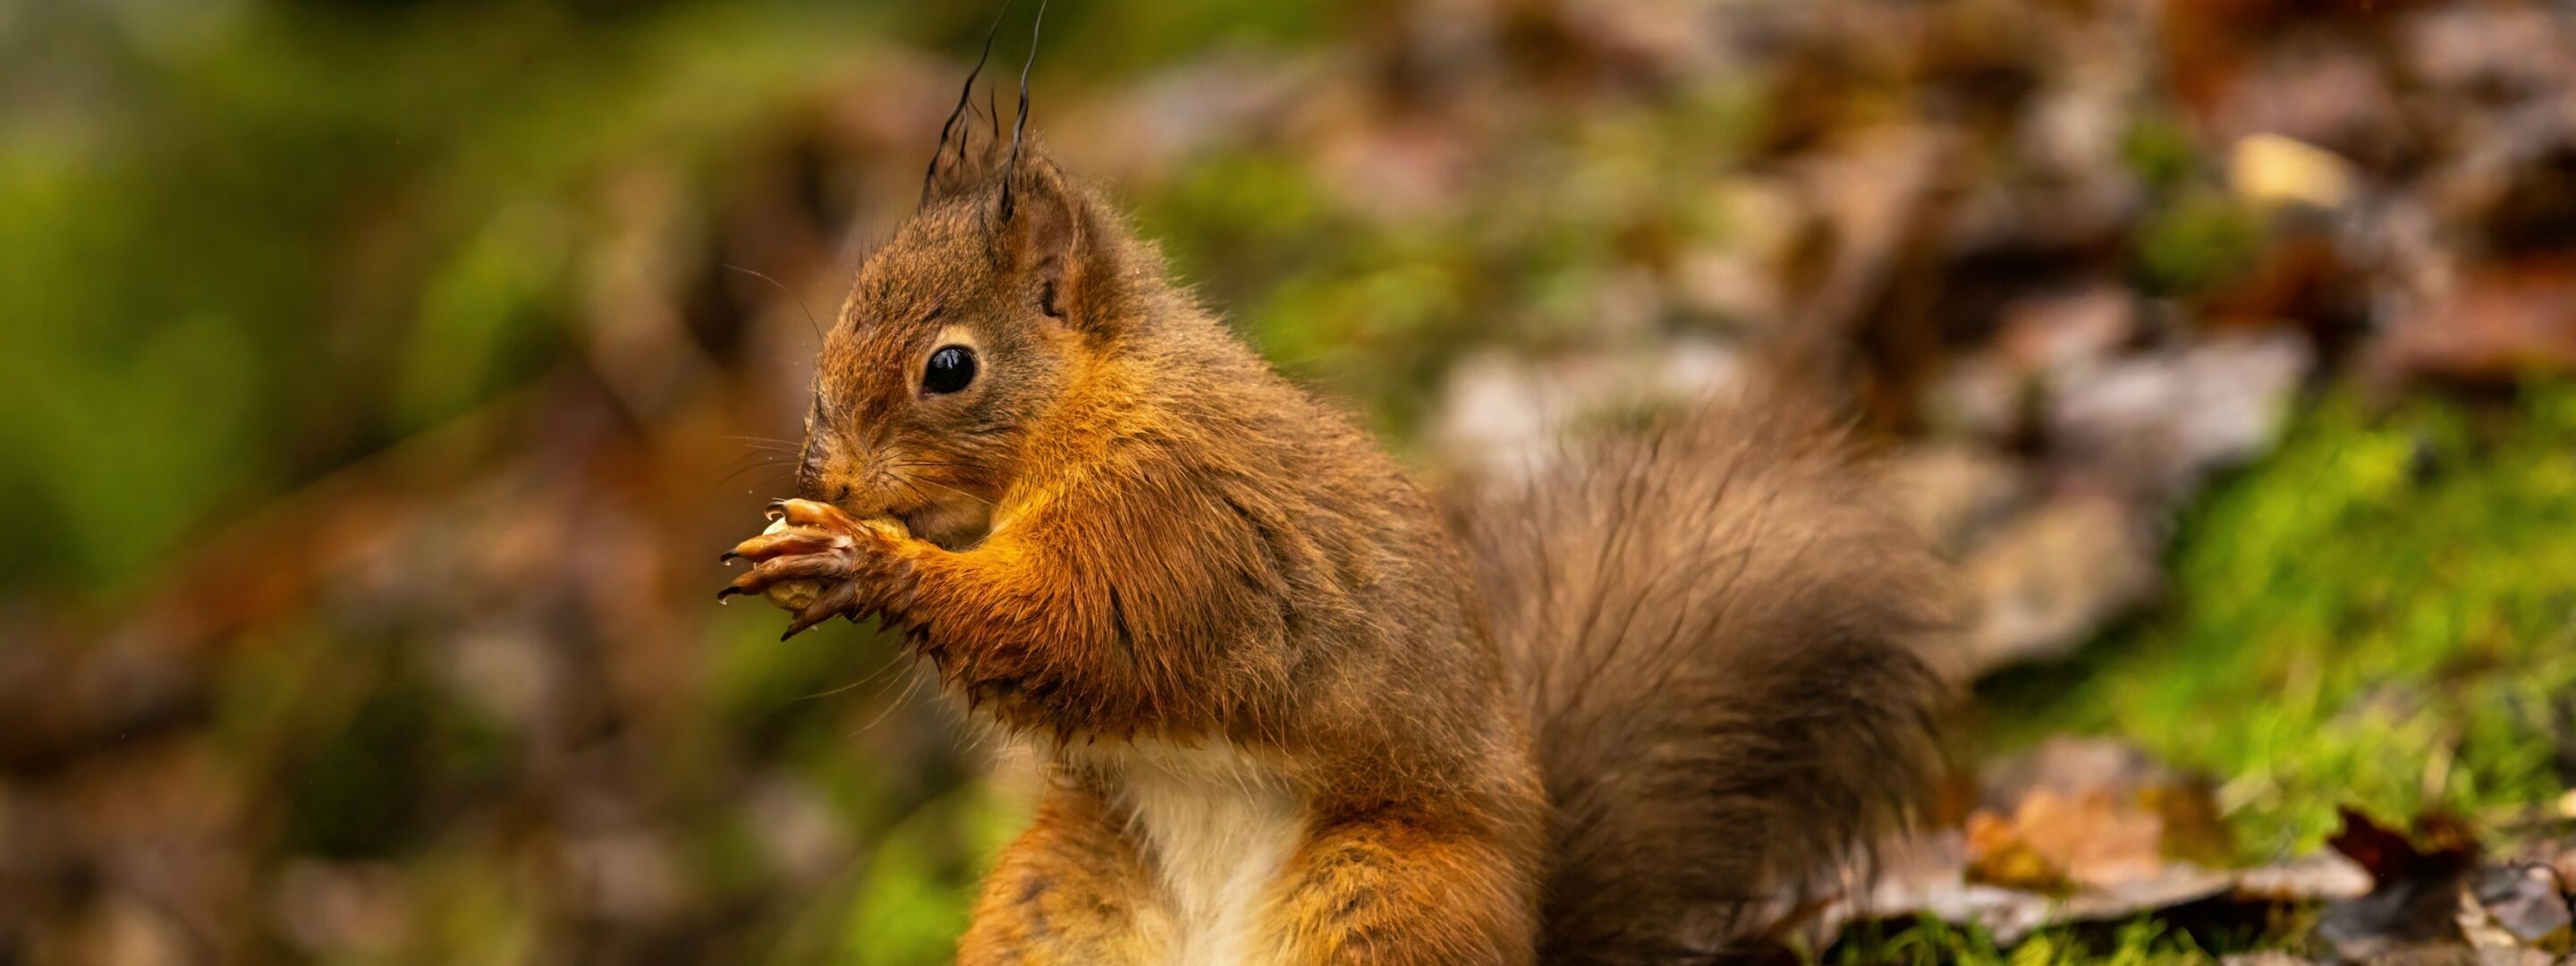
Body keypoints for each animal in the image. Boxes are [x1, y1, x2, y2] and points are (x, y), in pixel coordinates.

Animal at [717, 110, 1951, 964]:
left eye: (949, 367)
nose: (825, 476)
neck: (1093, 401)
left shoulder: (1171, 520)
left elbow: (1075, 632)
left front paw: (857, 560)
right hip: (1053, 906)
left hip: (1384, 898)